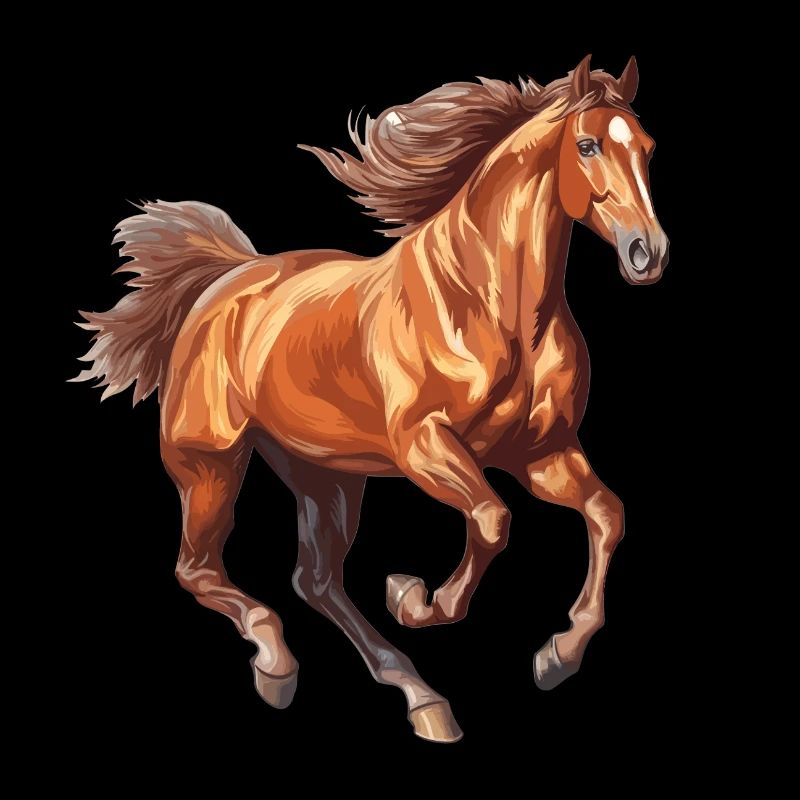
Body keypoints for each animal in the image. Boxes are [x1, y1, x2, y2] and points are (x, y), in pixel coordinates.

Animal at [73, 55, 669, 743]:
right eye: (587, 145)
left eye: (647, 148)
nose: (648, 253)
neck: (491, 306)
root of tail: (225, 279)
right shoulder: (424, 446)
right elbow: (492, 520)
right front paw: (417, 598)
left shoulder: (540, 452)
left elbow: (606, 515)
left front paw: (558, 657)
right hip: (209, 465)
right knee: (200, 570)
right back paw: (278, 666)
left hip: (324, 473)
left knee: (315, 579)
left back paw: (422, 699)